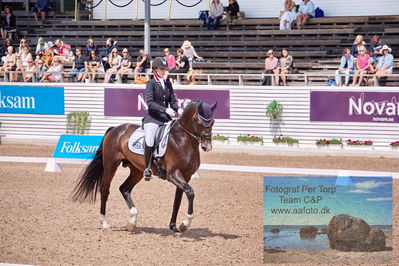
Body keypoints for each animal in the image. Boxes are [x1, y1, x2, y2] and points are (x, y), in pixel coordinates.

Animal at [72, 100, 216, 233]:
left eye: (213, 122)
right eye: (198, 121)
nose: (207, 146)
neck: (182, 139)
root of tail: (115, 129)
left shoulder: (186, 176)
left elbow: (178, 200)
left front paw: (174, 226)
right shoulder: (173, 174)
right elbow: (190, 192)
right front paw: (185, 224)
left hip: (136, 170)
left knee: (124, 188)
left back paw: (132, 222)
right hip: (110, 164)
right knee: (104, 189)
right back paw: (104, 222)